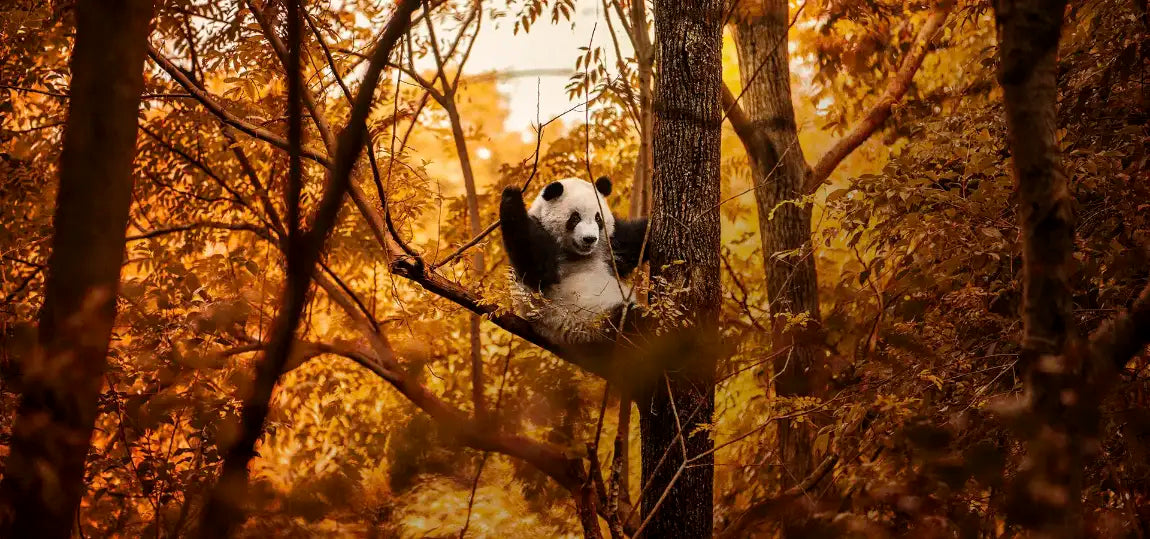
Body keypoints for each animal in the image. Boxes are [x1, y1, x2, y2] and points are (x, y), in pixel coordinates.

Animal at [499, 176, 648, 346]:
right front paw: (511, 194)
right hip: (594, 324)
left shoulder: (609, 246)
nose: (589, 239)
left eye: (598, 218)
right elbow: (537, 270)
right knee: (633, 322)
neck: (579, 254)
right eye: (575, 217)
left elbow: (634, 241)